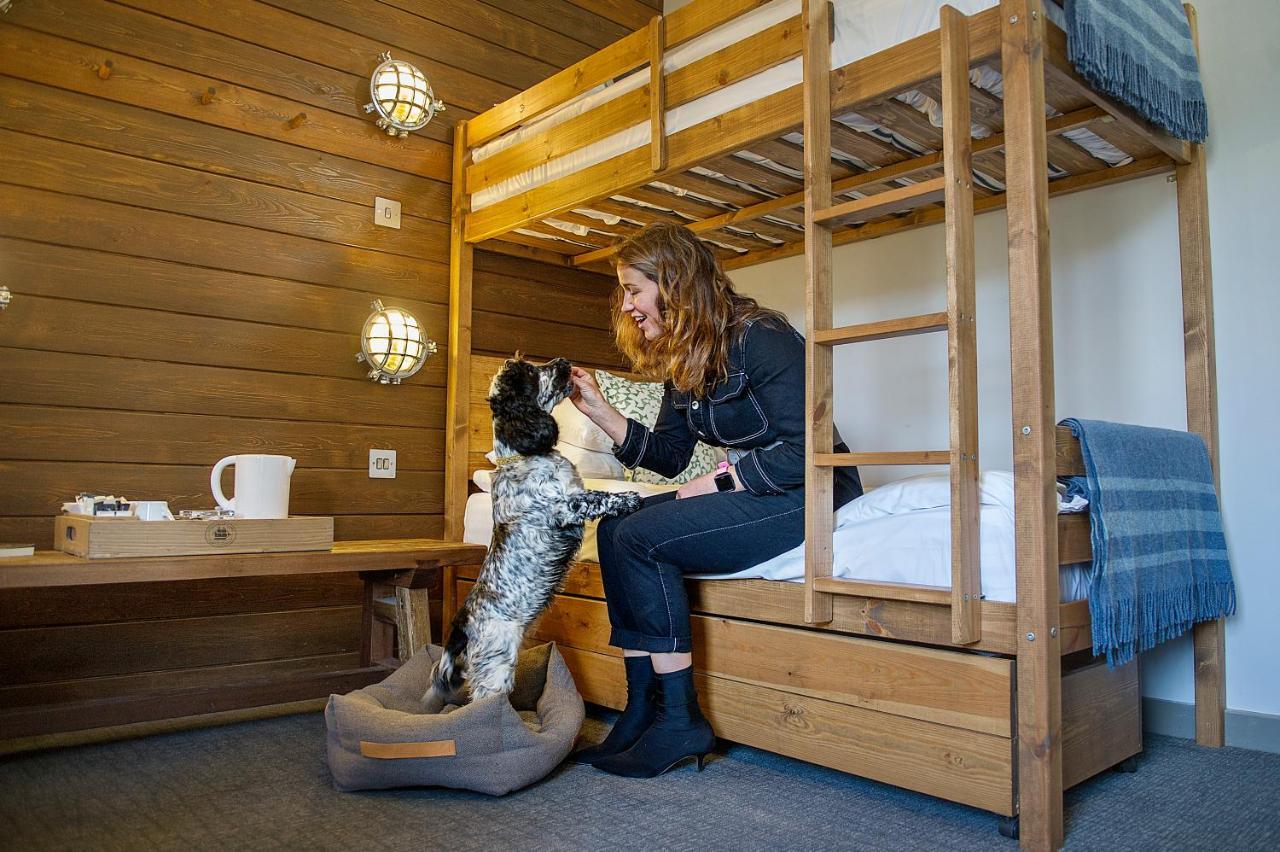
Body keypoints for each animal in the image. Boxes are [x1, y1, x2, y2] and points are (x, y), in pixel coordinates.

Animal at [422, 355, 640, 706]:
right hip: (495, 665)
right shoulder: (563, 507)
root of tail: (462, 625)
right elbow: (597, 497)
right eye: (531, 373)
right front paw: (630, 499)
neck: (523, 456)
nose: (563, 361)